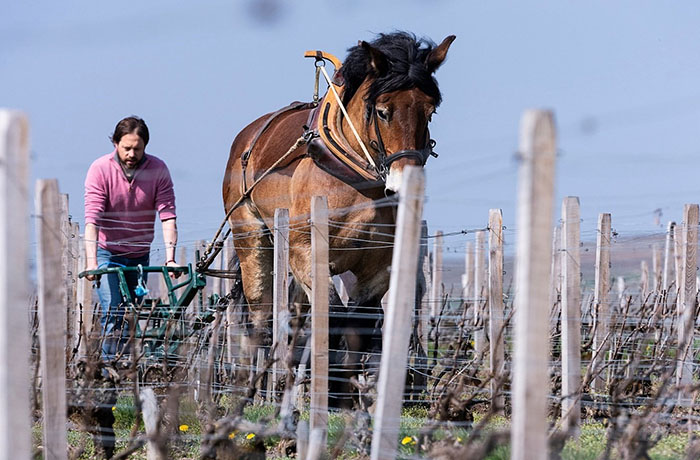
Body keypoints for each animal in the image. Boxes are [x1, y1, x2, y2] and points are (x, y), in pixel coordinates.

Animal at [221, 31, 456, 406]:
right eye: (383, 111)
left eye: (430, 111)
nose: (407, 184)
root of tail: (249, 135)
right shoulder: (306, 252)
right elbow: (330, 316)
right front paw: (325, 394)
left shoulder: (380, 267)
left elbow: (357, 323)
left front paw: (343, 395)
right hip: (251, 237)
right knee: (261, 317)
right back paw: (253, 391)